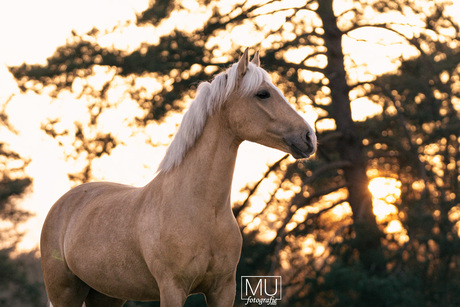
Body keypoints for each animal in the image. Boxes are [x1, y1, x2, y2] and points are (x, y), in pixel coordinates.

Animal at [41, 49, 316, 306]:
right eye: (263, 94)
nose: (309, 137)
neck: (201, 209)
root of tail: (62, 204)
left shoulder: (223, 289)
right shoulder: (172, 288)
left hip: (107, 295)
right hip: (65, 293)